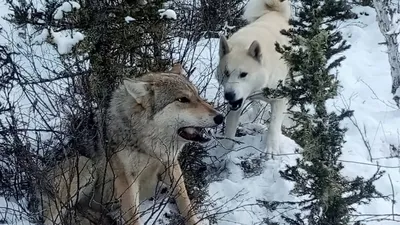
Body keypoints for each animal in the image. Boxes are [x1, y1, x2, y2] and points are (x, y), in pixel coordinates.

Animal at [39, 63, 223, 225]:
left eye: (198, 96)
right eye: (182, 99)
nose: (220, 117)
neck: (148, 147)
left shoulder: (171, 165)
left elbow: (186, 205)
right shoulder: (126, 180)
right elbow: (134, 218)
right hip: (84, 165)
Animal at [216, 0, 290, 156]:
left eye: (243, 74)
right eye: (226, 73)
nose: (229, 95)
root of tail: (275, 12)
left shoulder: (280, 99)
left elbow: (274, 125)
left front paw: (271, 149)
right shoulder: (236, 104)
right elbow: (230, 130)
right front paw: (224, 151)